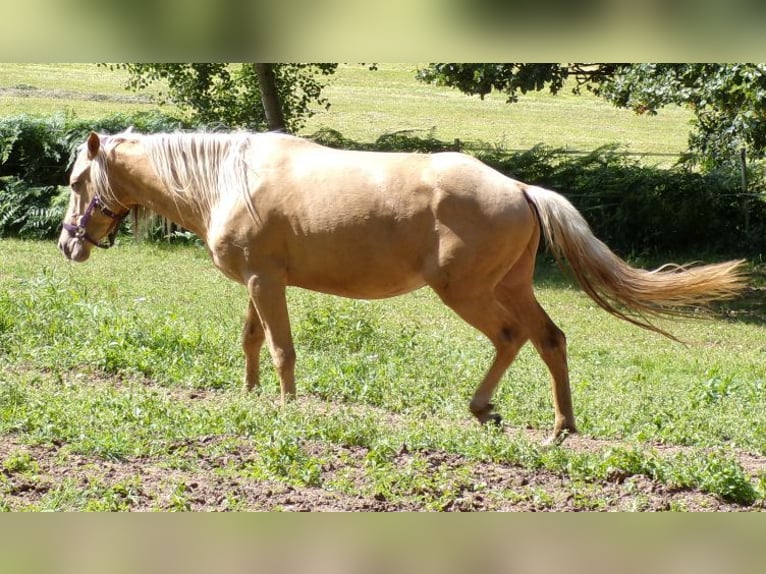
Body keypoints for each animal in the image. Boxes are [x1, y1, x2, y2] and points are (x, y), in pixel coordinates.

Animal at [58, 129, 752, 446]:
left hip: (467, 292)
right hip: (511, 285)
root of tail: (521, 189)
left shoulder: (265, 280)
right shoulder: (259, 283)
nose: (69, 244)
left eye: (75, 180)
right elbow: (252, 341)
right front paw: (252, 398)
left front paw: (285, 406)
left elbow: (280, 348)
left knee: (513, 336)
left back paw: (491, 410)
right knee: (549, 339)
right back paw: (558, 427)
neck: (227, 177)